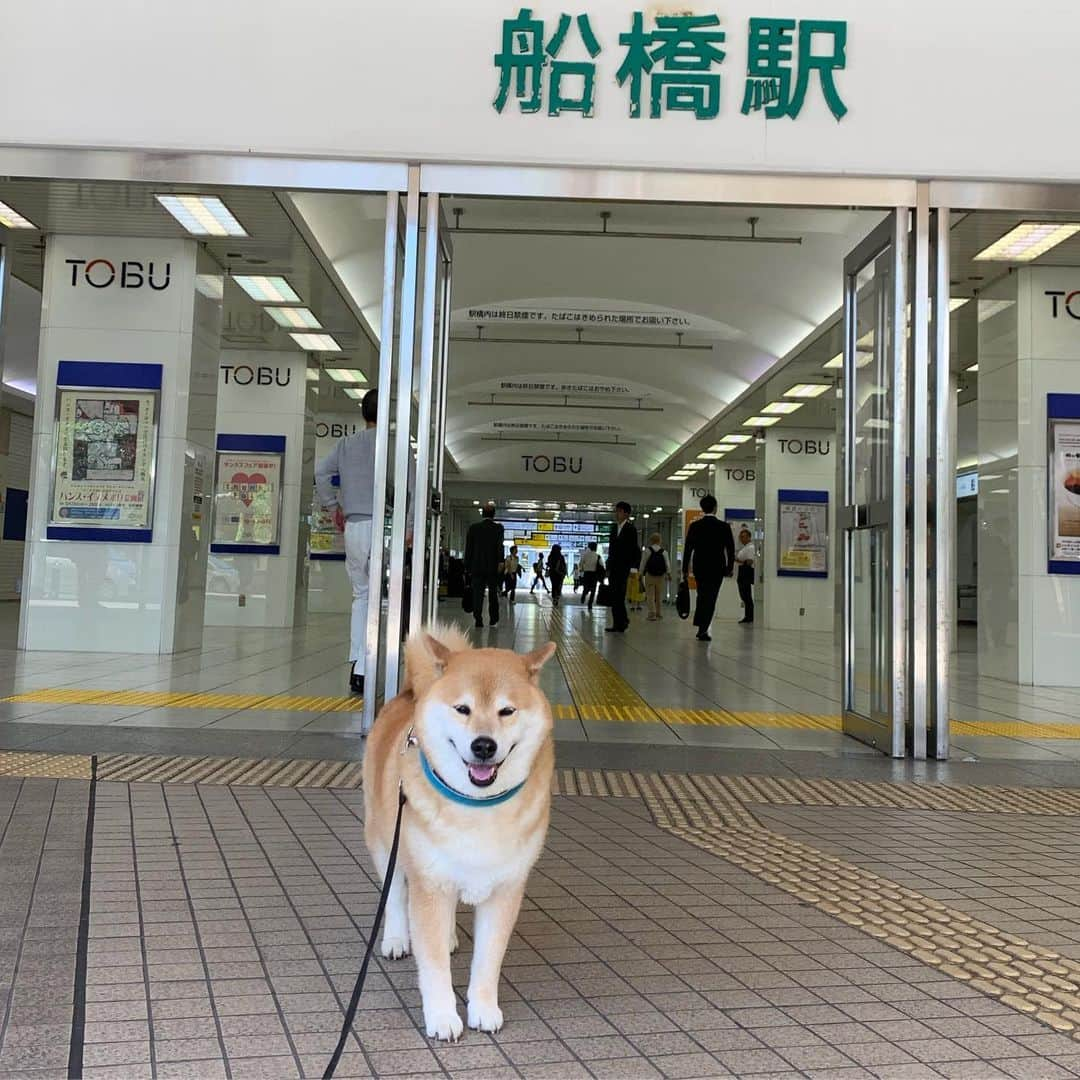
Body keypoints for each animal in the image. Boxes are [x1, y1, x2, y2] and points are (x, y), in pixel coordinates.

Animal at [367, 630, 557, 1041]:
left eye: (507, 711)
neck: (476, 806)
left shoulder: (505, 888)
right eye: (462, 709)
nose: (483, 745)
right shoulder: (429, 881)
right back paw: (396, 938)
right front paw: (441, 1017)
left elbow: (488, 961)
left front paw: (483, 1009)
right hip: (386, 841)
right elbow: (433, 963)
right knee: (395, 894)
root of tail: (411, 692)